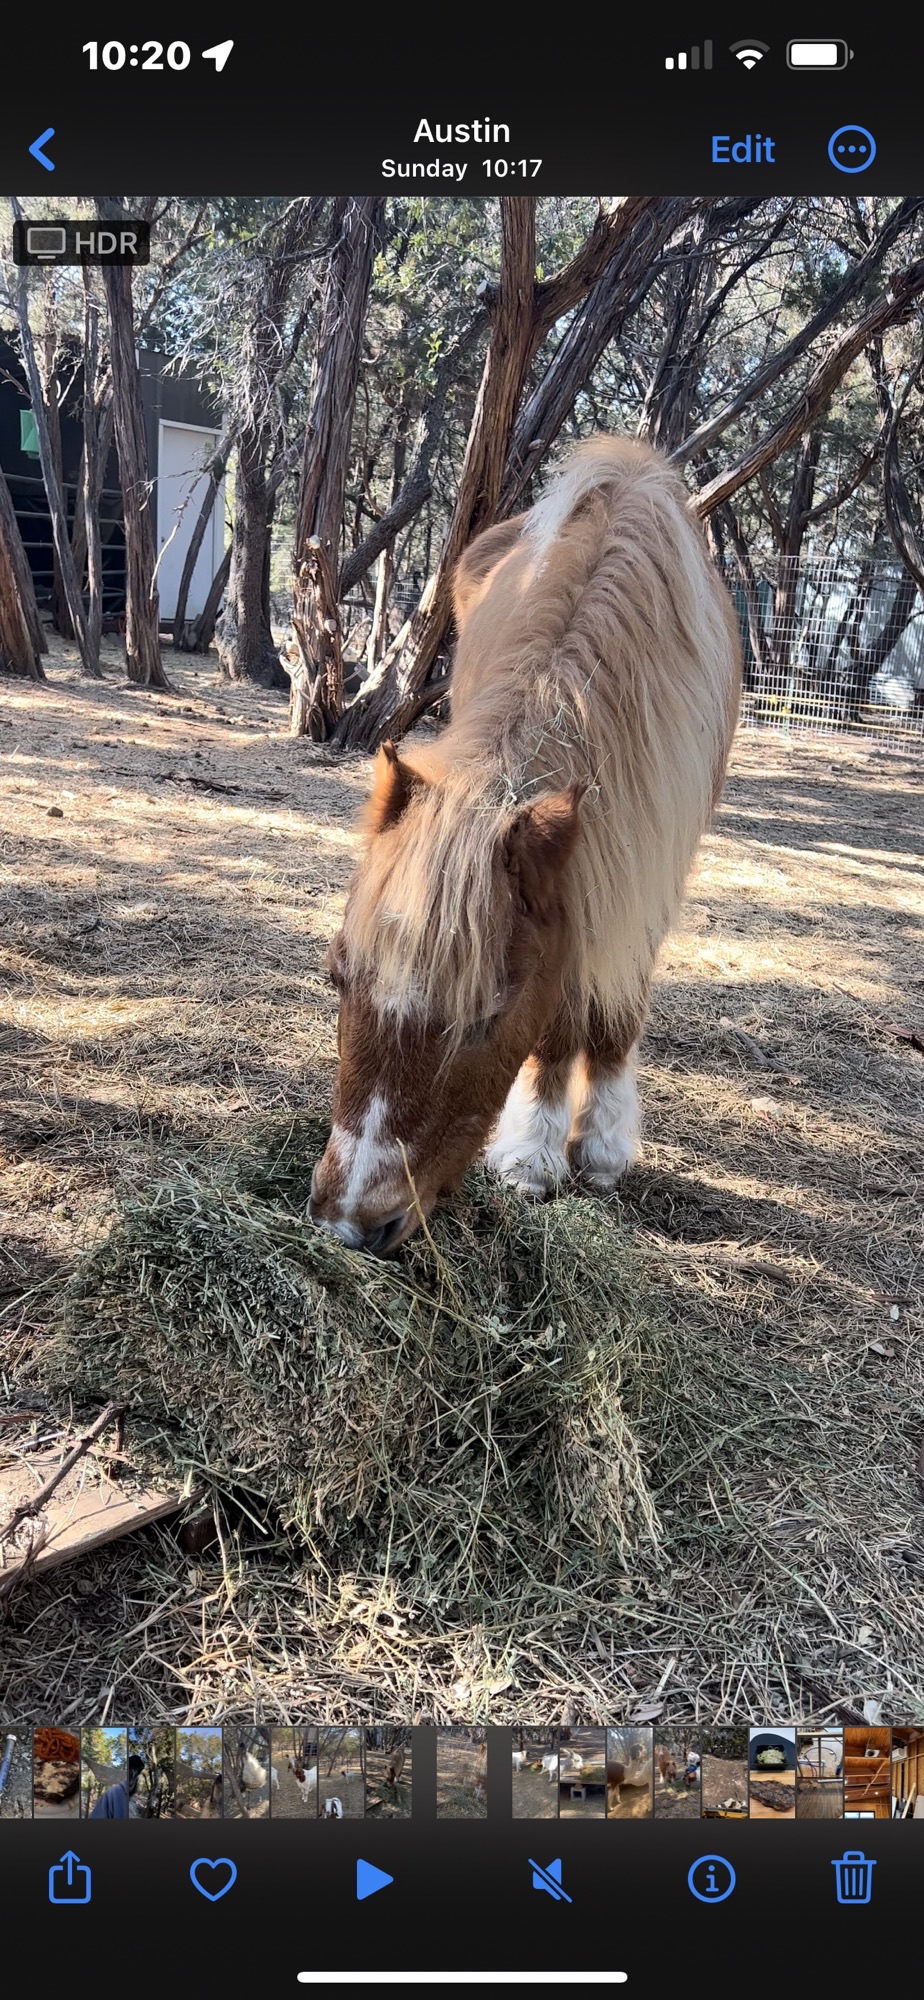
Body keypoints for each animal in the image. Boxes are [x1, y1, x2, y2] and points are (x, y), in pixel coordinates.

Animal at [309, 436, 741, 1254]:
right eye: (338, 977)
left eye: (485, 1017)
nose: (351, 1224)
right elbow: (563, 1020)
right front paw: (535, 1157)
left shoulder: (650, 872)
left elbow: (616, 1009)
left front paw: (599, 1150)